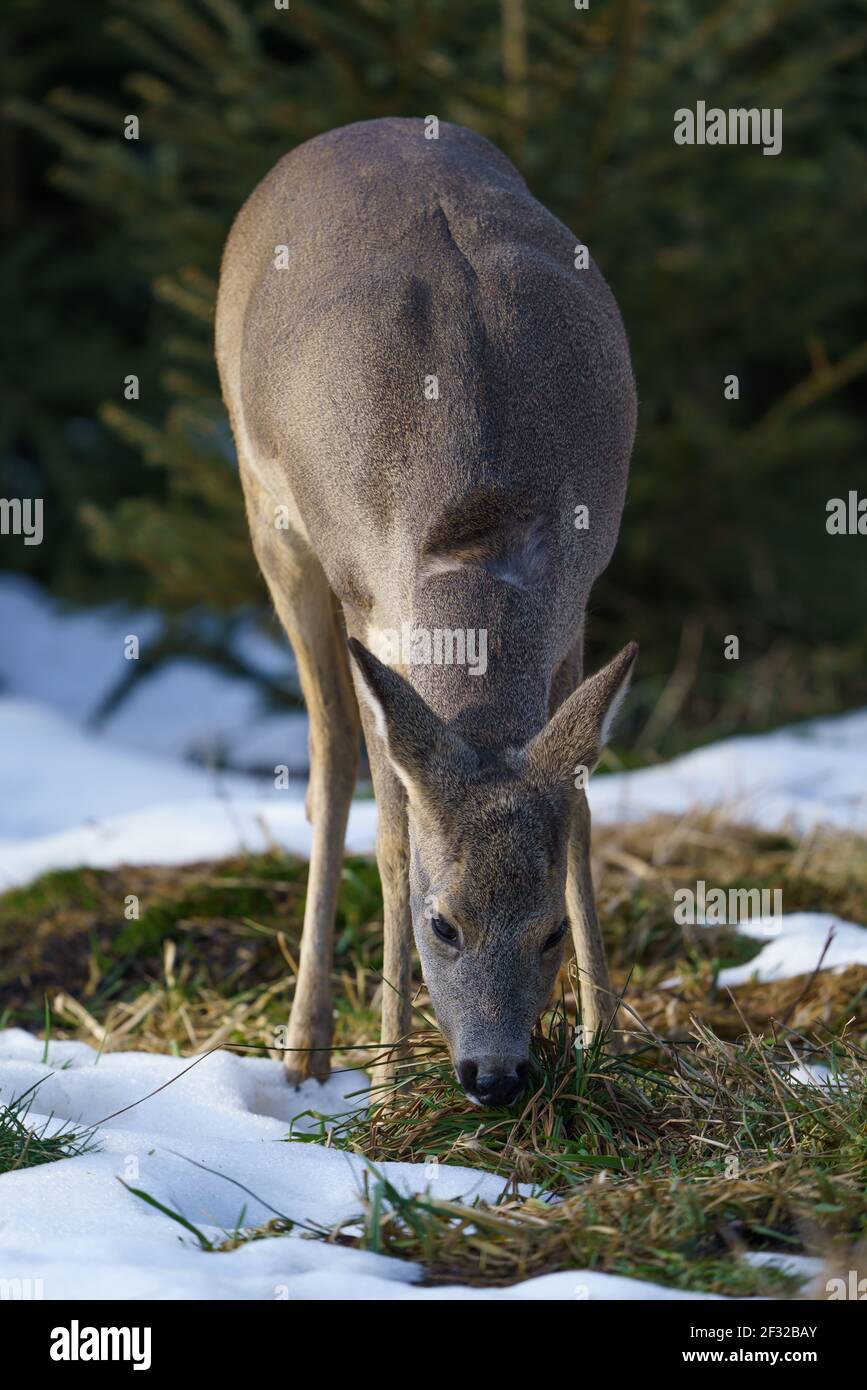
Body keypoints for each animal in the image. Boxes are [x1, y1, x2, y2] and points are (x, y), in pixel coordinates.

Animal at [216, 118, 637, 1108]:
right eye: (441, 925)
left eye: (546, 932)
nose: (495, 1076)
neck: (478, 523)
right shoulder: (374, 613)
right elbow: (396, 836)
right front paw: (390, 1079)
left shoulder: (577, 604)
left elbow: (580, 817)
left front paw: (604, 1039)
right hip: (268, 511)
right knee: (329, 757)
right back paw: (306, 1045)